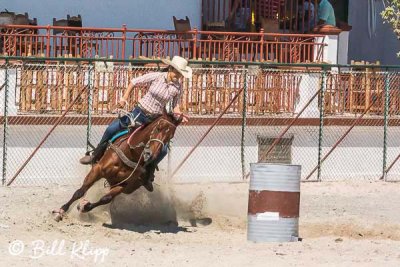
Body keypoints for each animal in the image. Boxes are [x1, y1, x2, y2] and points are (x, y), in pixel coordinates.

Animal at [52, 110, 181, 223]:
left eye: (170, 136)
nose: (151, 155)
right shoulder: (97, 170)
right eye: (158, 127)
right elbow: (79, 192)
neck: (130, 153)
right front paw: (60, 212)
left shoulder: (123, 185)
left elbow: (105, 199)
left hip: (129, 187)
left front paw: (84, 207)